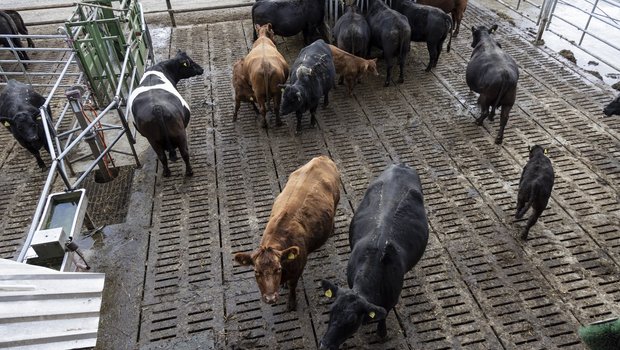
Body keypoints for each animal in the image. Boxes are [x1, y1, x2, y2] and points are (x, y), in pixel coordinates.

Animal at [234, 156, 342, 312]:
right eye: (256, 272)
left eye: (278, 269)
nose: (270, 298)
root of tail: (321, 158)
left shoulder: (298, 269)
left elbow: (292, 286)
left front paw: (291, 303)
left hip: (337, 199)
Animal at [318, 165, 428, 350]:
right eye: (331, 310)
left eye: (352, 320)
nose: (325, 345)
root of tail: (401, 166)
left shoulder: (390, 301)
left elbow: (383, 316)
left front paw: (382, 334)